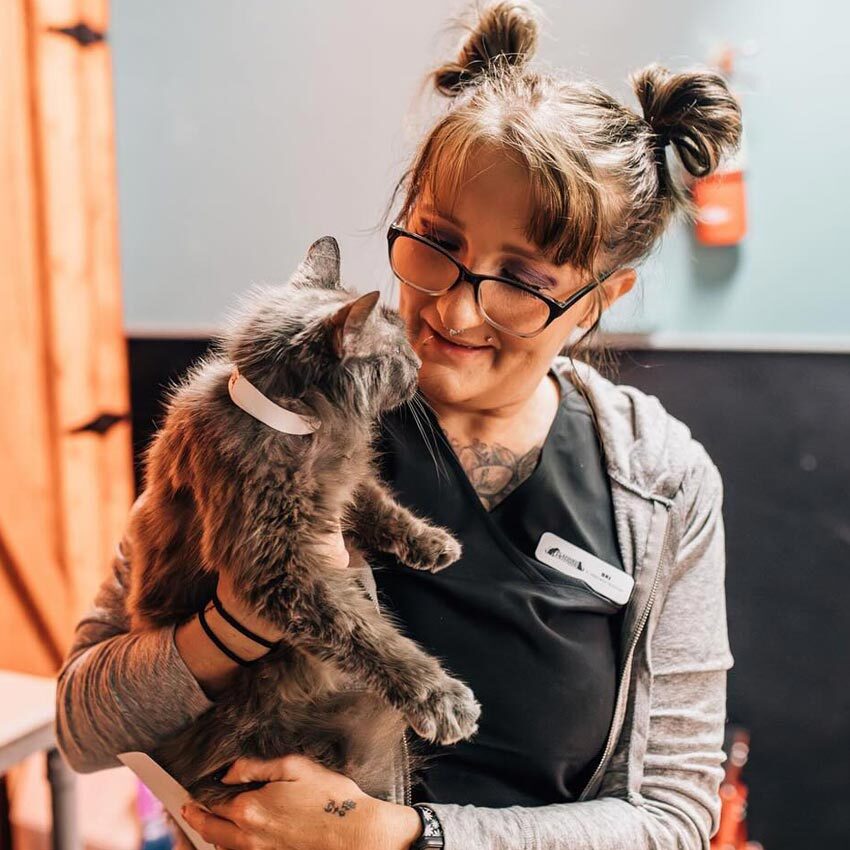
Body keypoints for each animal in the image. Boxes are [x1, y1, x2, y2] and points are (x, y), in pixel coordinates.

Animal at [128, 237, 480, 800]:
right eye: (399, 355)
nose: (421, 366)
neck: (301, 425)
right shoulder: (280, 569)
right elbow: (366, 635)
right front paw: (438, 698)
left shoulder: (342, 485)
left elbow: (377, 502)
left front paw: (430, 543)